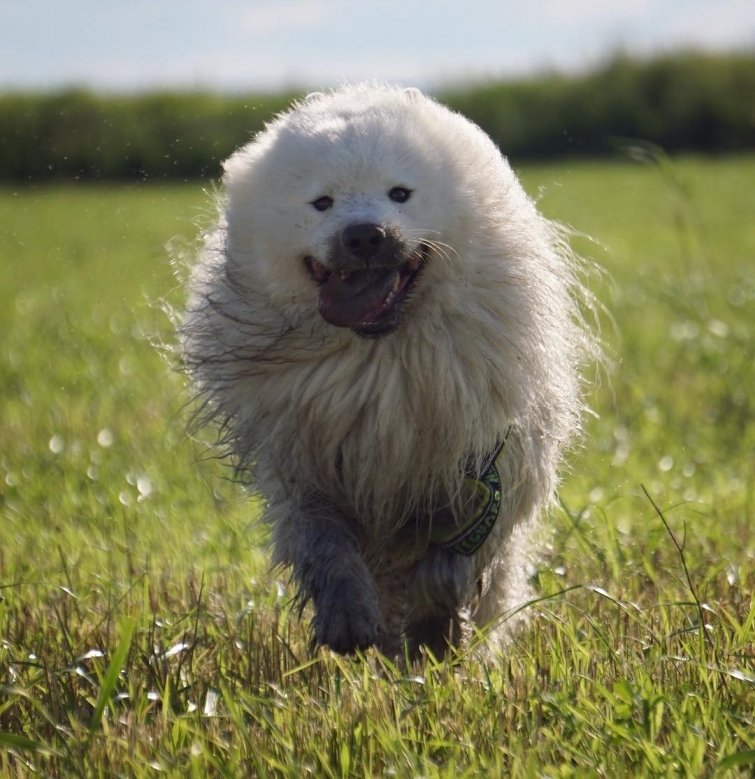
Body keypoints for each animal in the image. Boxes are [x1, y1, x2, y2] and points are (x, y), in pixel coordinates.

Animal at [182, 84, 596, 660]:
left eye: (400, 193)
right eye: (322, 202)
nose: (365, 236)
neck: (383, 361)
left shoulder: (488, 470)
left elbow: (450, 566)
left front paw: (435, 631)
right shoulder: (303, 470)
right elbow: (326, 547)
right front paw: (348, 617)